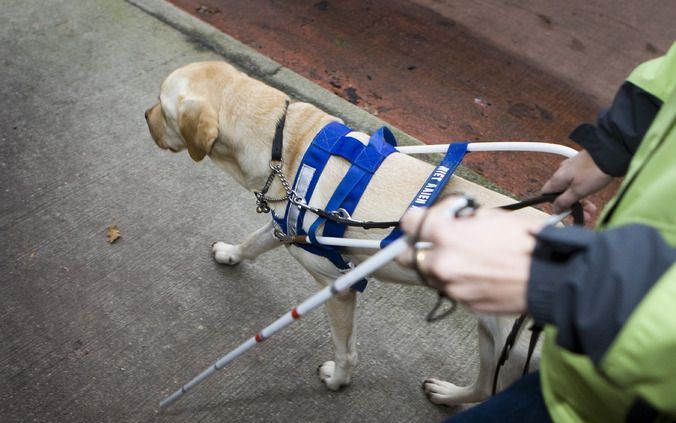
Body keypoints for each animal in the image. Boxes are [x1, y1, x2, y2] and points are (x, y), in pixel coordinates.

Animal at [145, 61, 540, 406]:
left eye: (162, 106)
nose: (145, 116)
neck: (284, 144)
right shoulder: (284, 227)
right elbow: (252, 242)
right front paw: (230, 253)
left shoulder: (338, 286)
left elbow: (346, 351)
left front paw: (338, 379)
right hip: (491, 339)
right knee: (482, 387)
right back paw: (448, 394)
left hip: (515, 356)